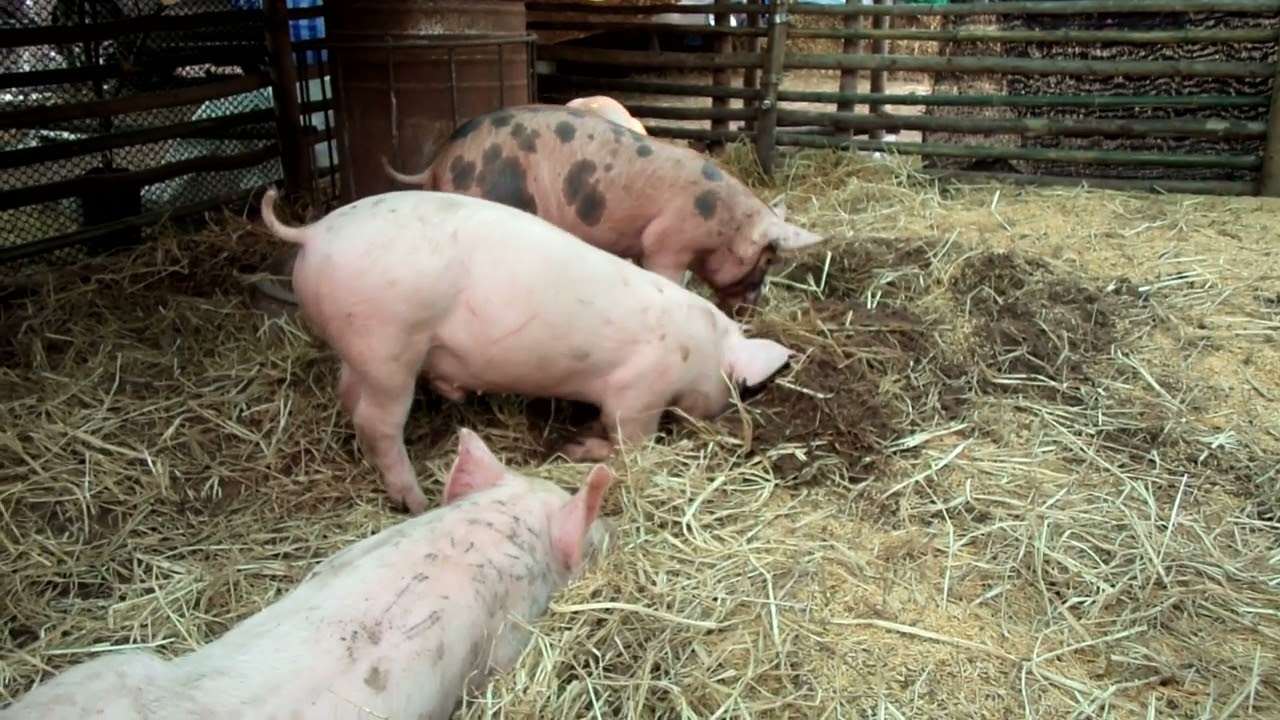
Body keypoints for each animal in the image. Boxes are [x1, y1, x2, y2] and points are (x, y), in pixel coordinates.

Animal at [257, 186, 794, 514]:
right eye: (736, 388)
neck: (699, 348)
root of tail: (314, 231)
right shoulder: (638, 393)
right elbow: (630, 446)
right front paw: (575, 446)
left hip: (361, 351)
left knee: (348, 396)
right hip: (389, 344)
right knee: (377, 422)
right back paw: (416, 501)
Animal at [379, 103, 827, 317]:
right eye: (768, 258)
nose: (753, 310)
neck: (723, 222)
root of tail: (439, 161)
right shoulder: (666, 243)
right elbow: (668, 277)